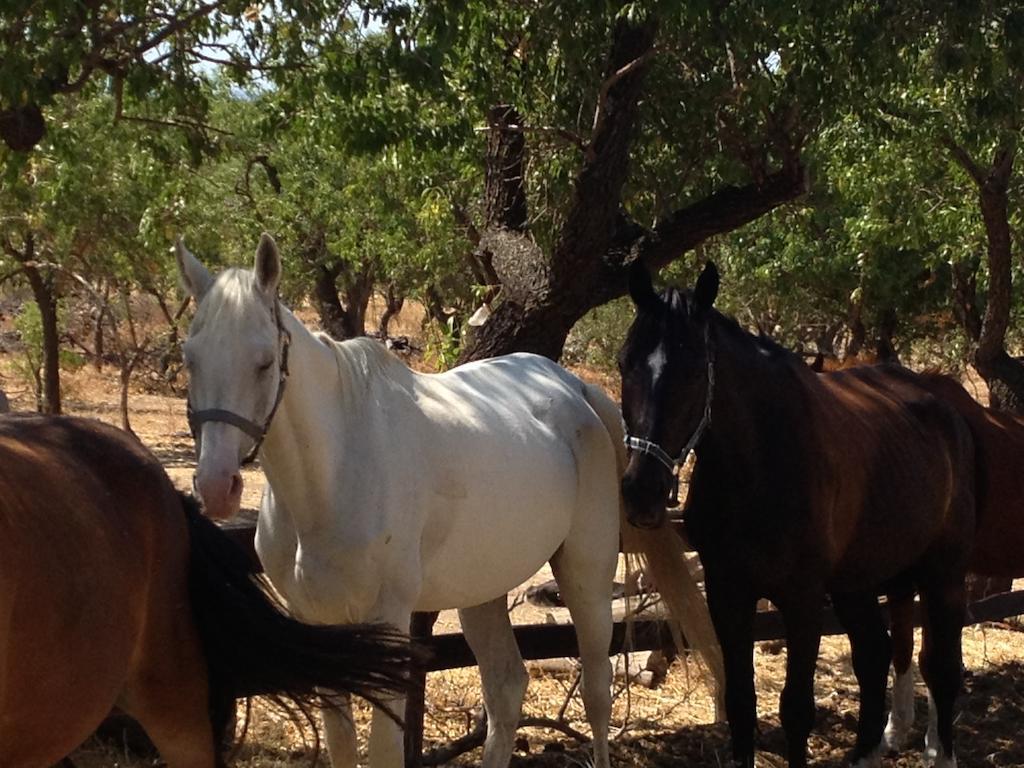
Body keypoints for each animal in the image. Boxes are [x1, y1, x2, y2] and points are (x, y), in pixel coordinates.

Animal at [174, 233, 720, 768]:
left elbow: (384, 752)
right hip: (482, 589)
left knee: (597, 693)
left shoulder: (389, 622)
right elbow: (342, 747)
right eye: (190, 357)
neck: (332, 476)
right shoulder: (318, 624)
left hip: (586, 574)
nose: (216, 486)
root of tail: (578, 390)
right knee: (506, 688)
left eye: (264, 361)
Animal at [614, 262, 974, 765]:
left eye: (694, 369)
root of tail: (947, 409)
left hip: (942, 574)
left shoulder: (802, 599)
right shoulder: (729, 593)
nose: (642, 492)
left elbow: (796, 711)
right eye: (624, 362)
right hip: (856, 583)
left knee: (942, 668)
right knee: (875, 654)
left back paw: (940, 753)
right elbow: (741, 703)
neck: (761, 465)